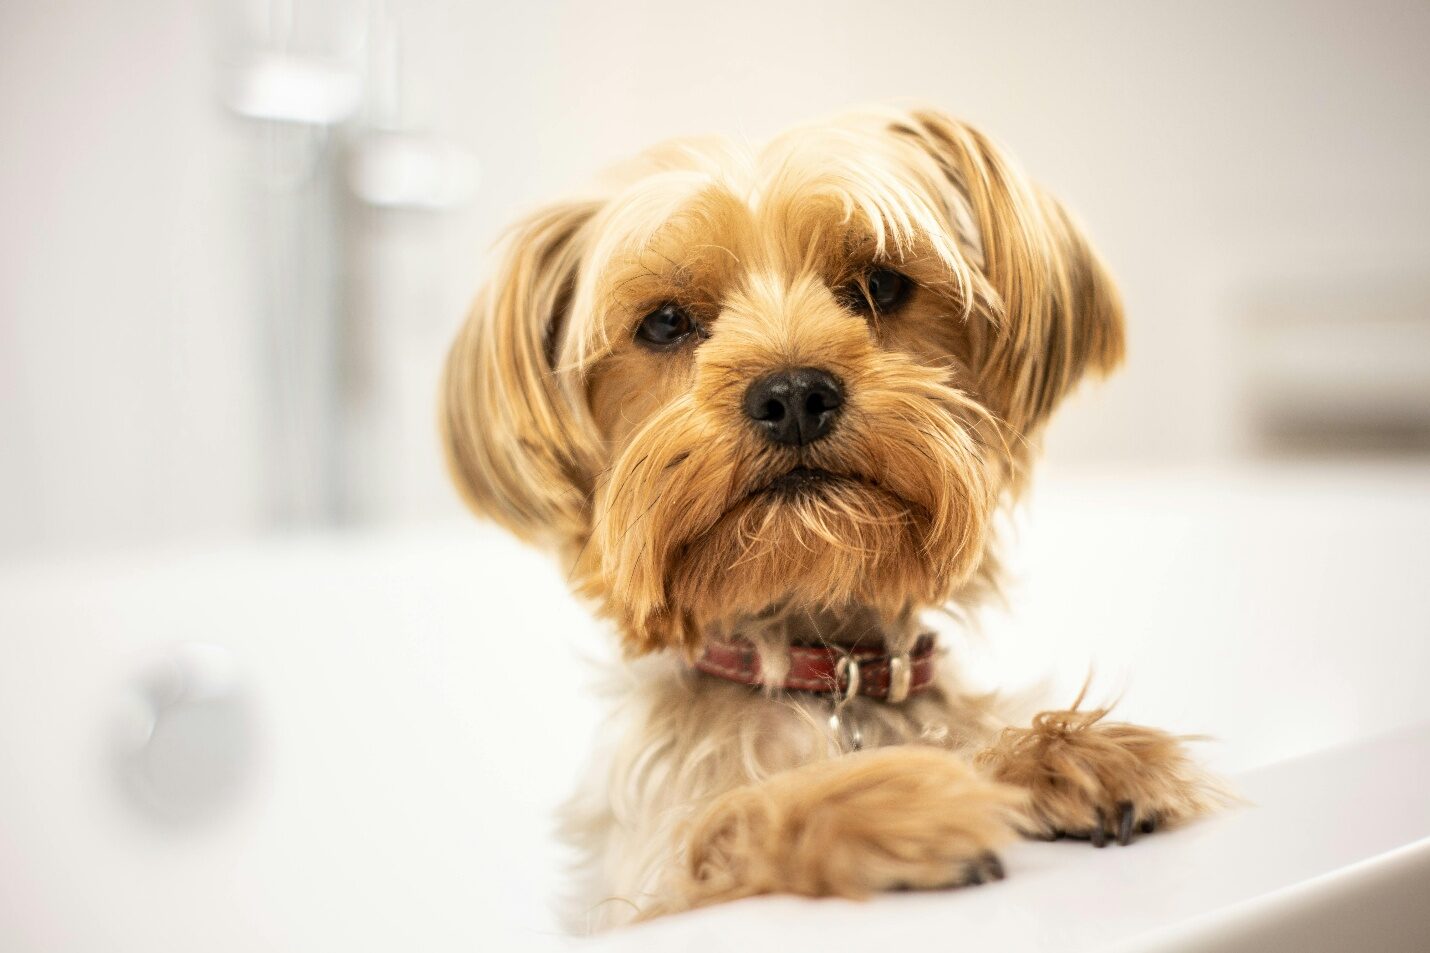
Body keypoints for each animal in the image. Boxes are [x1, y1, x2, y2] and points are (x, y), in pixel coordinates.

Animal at [437, 105, 1218, 927]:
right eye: (665, 322)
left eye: (881, 283)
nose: (792, 394)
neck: (822, 671)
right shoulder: (649, 891)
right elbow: (733, 821)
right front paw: (887, 806)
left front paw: (1062, 755)